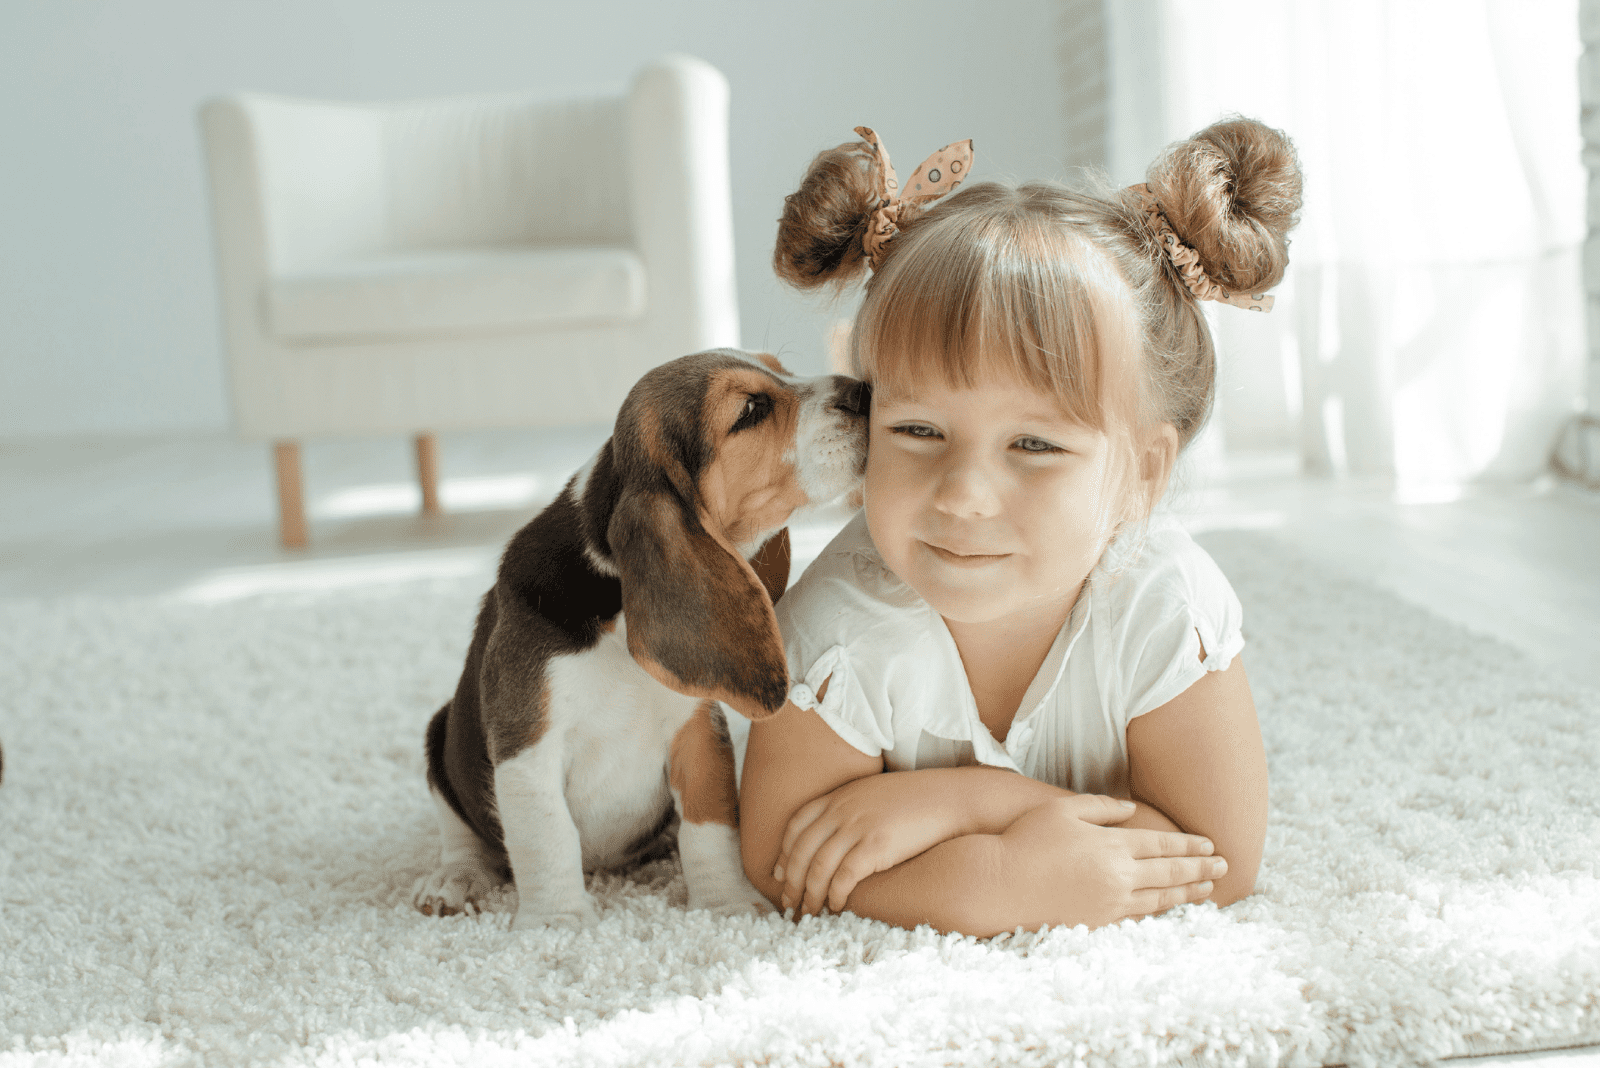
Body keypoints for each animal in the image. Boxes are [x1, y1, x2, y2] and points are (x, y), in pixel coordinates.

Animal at [409, 348, 864, 927]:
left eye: (780, 367)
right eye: (750, 410)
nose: (865, 391)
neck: (617, 609)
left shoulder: (696, 730)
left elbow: (709, 828)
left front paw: (727, 903)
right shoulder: (527, 744)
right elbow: (547, 835)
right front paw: (557, 922)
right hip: (440, 736)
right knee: (463, 836)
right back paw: (455, 879)